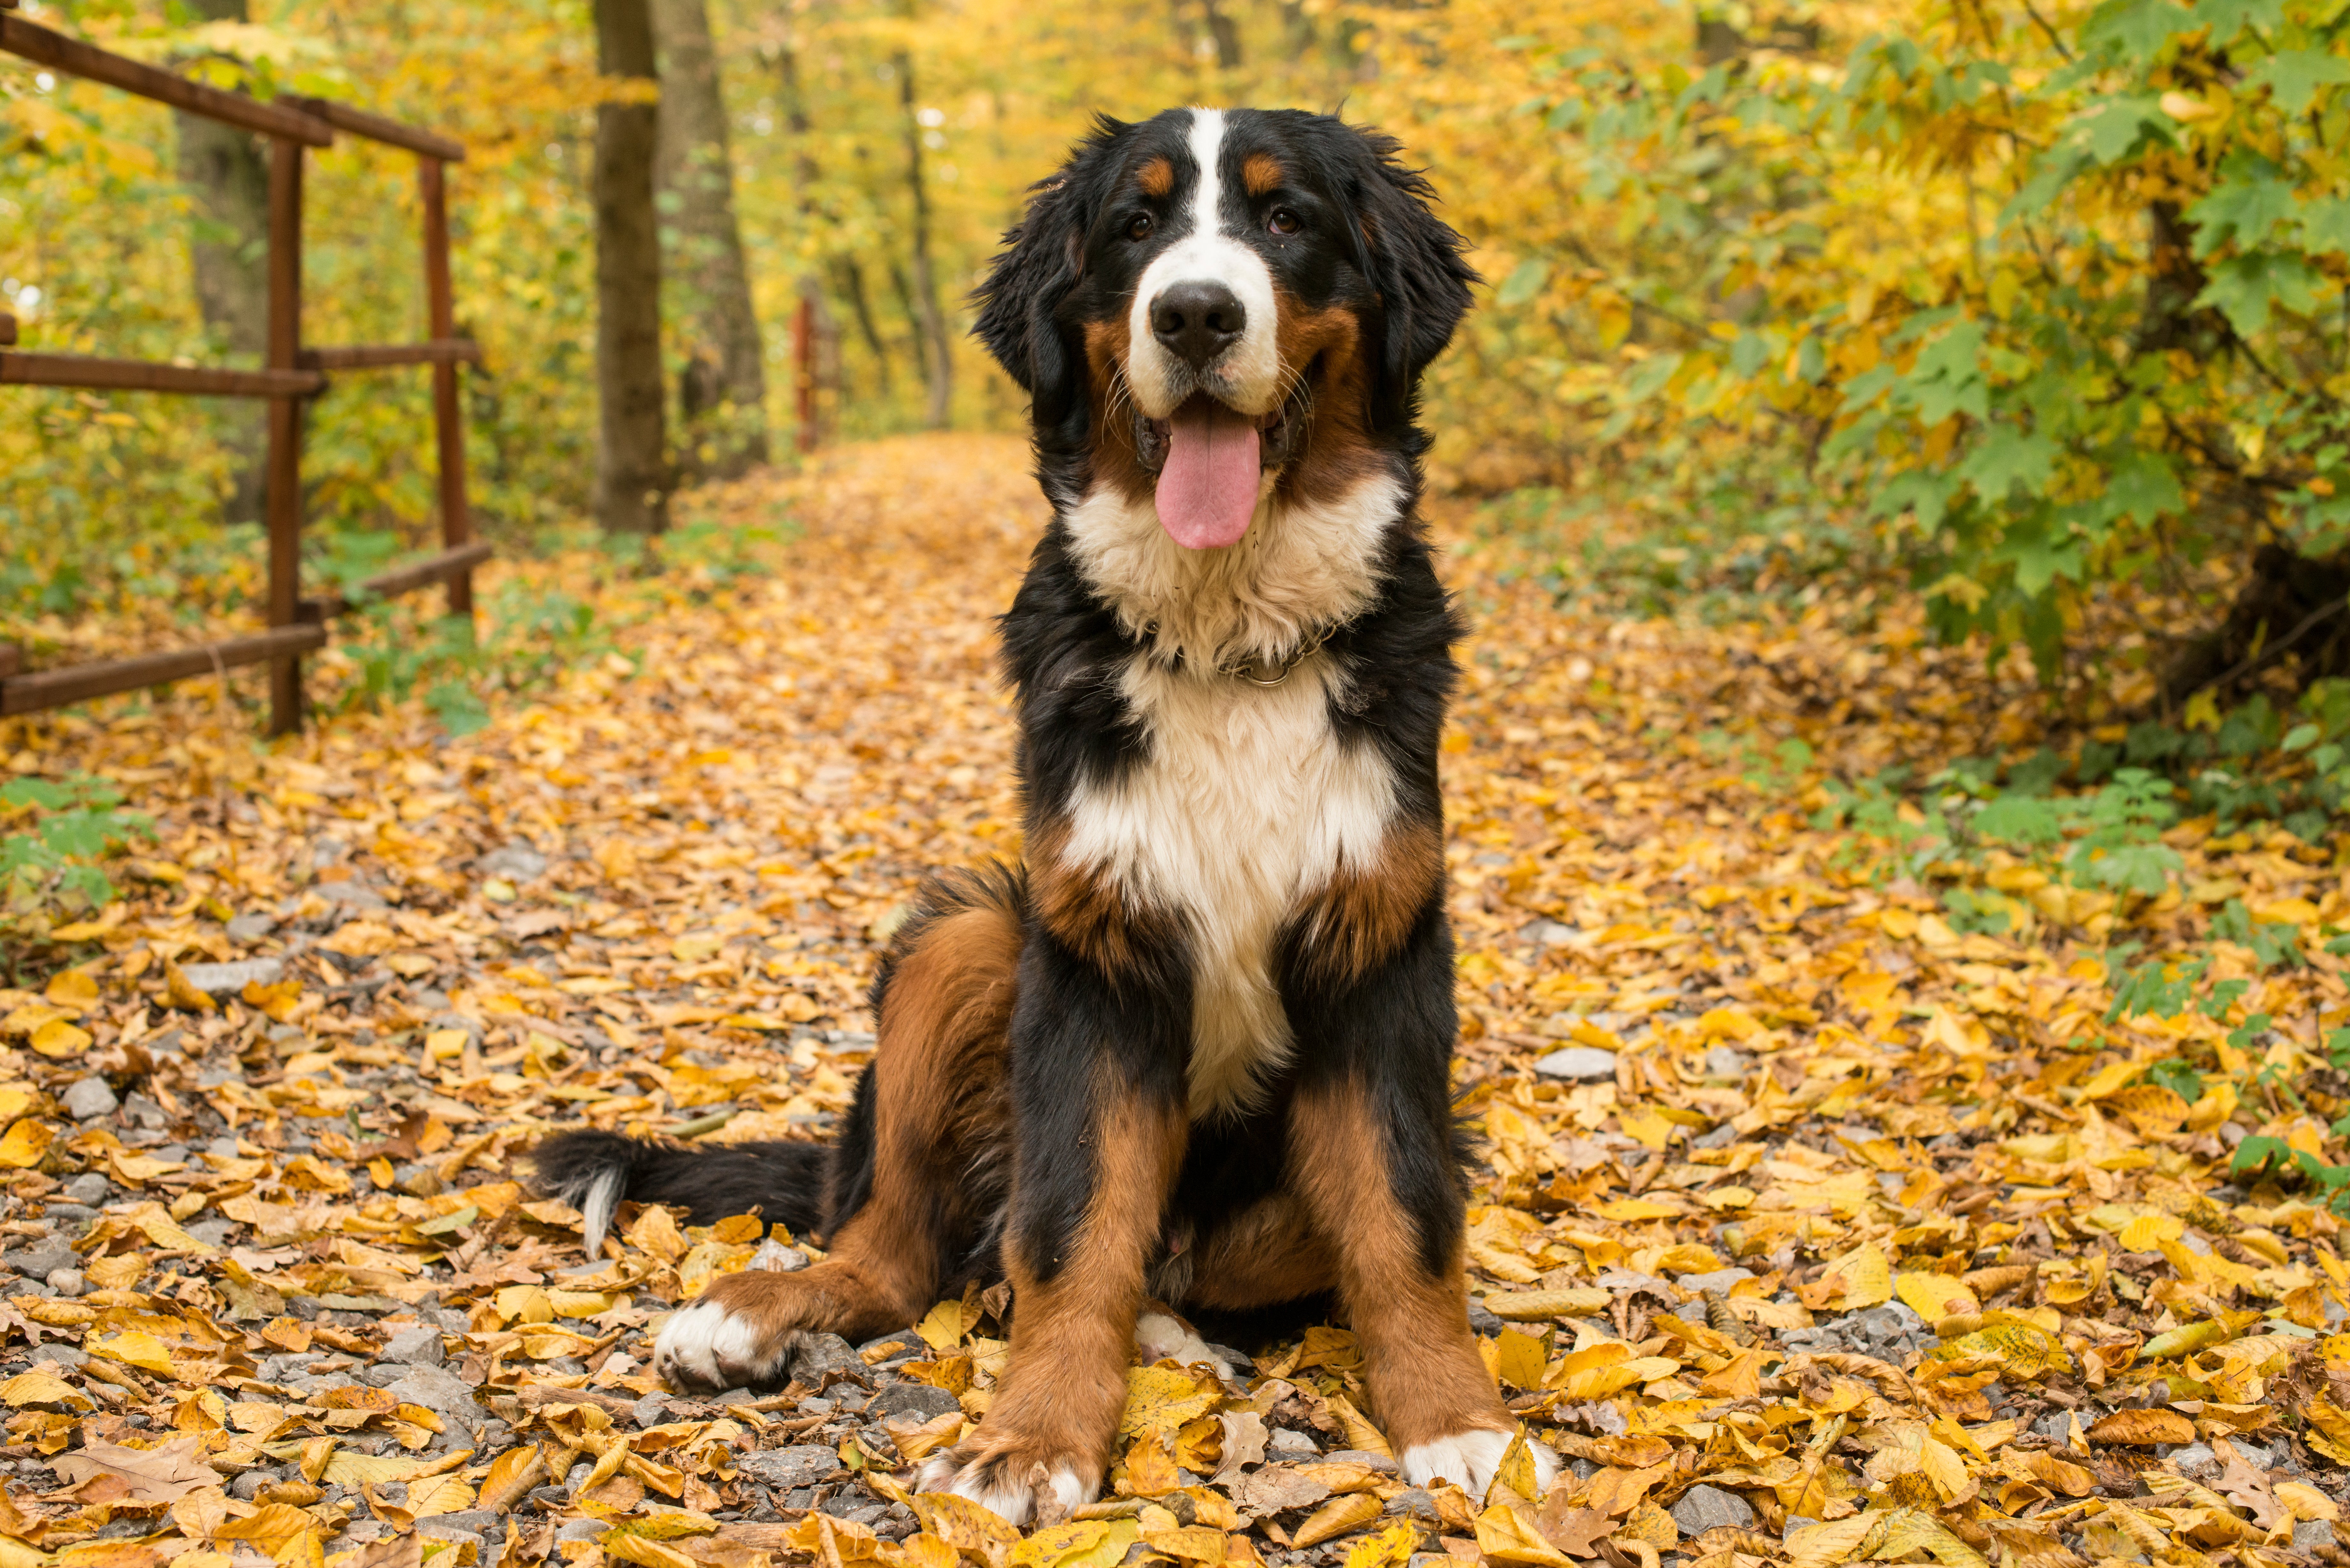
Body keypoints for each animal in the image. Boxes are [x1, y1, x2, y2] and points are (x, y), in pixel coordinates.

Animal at [533, 107, 1560, 1523]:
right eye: (1134, 227)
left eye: (1284, 219)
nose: (1194, 313)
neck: (1226, 645)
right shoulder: (1093, 955)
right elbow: (1074, 1226)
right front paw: (1033, 1438)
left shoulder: (1379, 951)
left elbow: (1402, 1221)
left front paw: (1461, 1425)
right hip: (968, 937)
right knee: (909, 1247)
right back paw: (751, 1314)